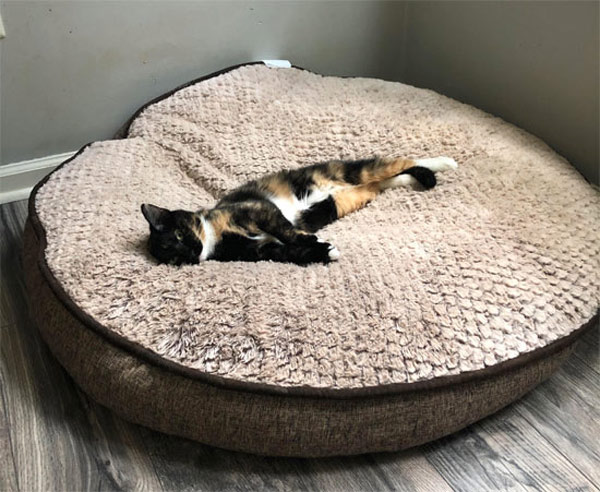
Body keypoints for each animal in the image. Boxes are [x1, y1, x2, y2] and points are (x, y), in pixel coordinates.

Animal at [142, 157, 460, 266]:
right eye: (173, 257)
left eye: (179, 234)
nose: (191, 252)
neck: (214, 237)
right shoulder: (261, 250)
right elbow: (290, 252)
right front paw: (324, 252)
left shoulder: (258, 209)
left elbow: (286, 230)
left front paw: (312, 240)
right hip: (350, 197)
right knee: (385, 181)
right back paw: (416, 179)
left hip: (349, 171)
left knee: (398, 161)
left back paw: (442, 164)